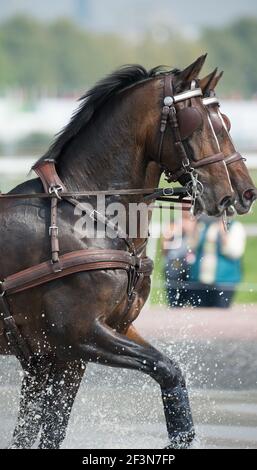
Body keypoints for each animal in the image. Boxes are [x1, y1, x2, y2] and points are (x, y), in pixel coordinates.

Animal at [0, 55, 236, 448]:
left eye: (225, 123)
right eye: (197, 121)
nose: (233, 193)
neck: (88, 215)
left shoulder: (73, 349)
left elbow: (46, 429)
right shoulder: (81, 336)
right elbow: (167, 369)